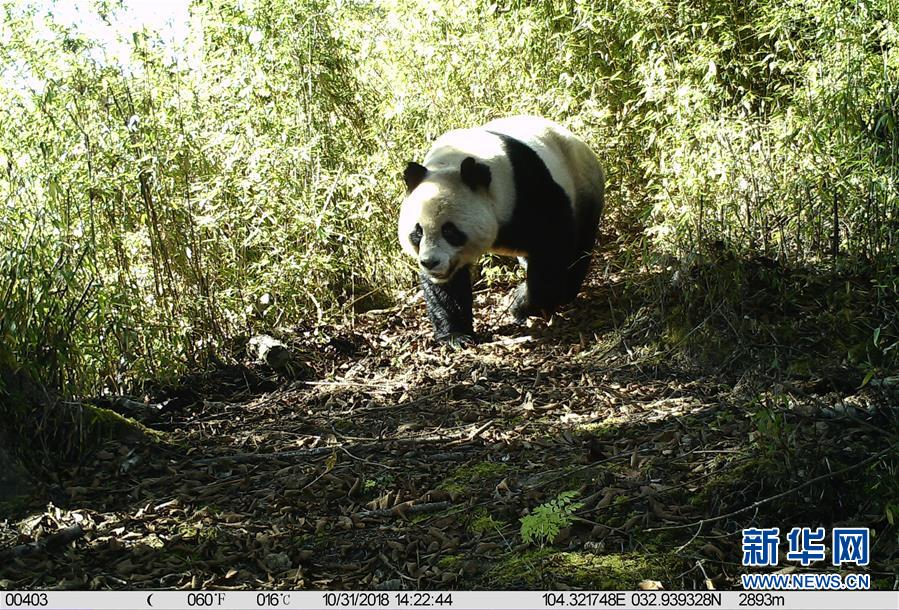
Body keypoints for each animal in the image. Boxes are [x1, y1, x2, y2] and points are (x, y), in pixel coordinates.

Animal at [400, 115, 604, 342]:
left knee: (580, 247)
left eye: (450, 231)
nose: (430, 262)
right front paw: (456, 335)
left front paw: (522, 304)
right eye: (417, 232)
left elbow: (551, 245)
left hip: (582, 184)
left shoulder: (527, 188)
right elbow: (447, 287)